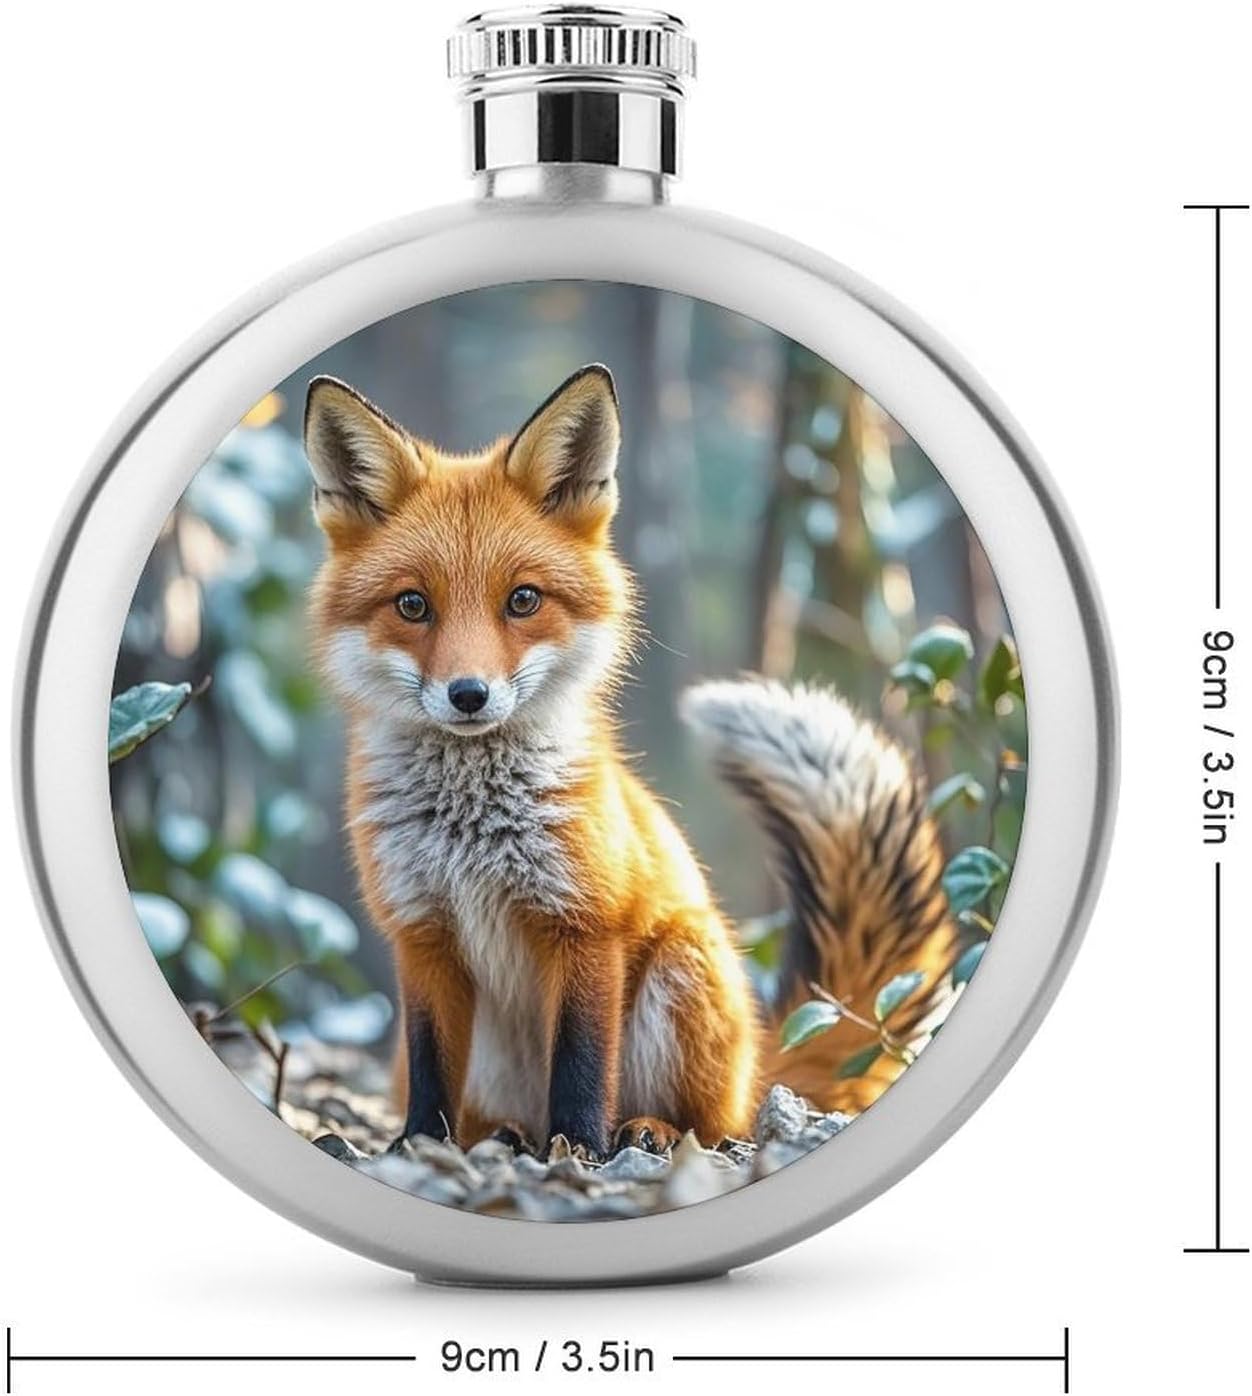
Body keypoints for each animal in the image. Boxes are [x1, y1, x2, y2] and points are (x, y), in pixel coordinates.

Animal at [303, 363, 958, 1158]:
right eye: (412, 606)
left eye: (523, 600)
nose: (468, 694)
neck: (471, 835)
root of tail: (761, 1065)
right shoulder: (421, 935)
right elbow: (432, 1076)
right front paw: (420, 1147)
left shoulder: (586, 924)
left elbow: (583, 1062)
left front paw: (578, 1150)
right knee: (495, 1111)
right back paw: (505, 1138)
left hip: (683, 965)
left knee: (714, 1126)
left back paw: (645, 1132)